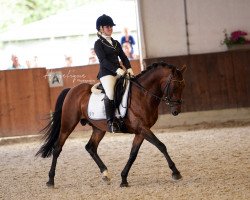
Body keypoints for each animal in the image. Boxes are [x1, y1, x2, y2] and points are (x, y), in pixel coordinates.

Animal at [36, 62, 186, 188]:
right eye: (175, 86)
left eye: (183, 86)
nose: (176, 111)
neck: (142, 95)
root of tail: (71, 90)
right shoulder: (142, 128)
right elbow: (161, 145)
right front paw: (176, 172)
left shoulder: (141, 131)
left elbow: (133, 154)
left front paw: (124, 179)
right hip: (68, 124)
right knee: (57, 148)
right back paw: (50, 180)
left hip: (98, 128)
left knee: (90, 147)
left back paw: (105, 174)